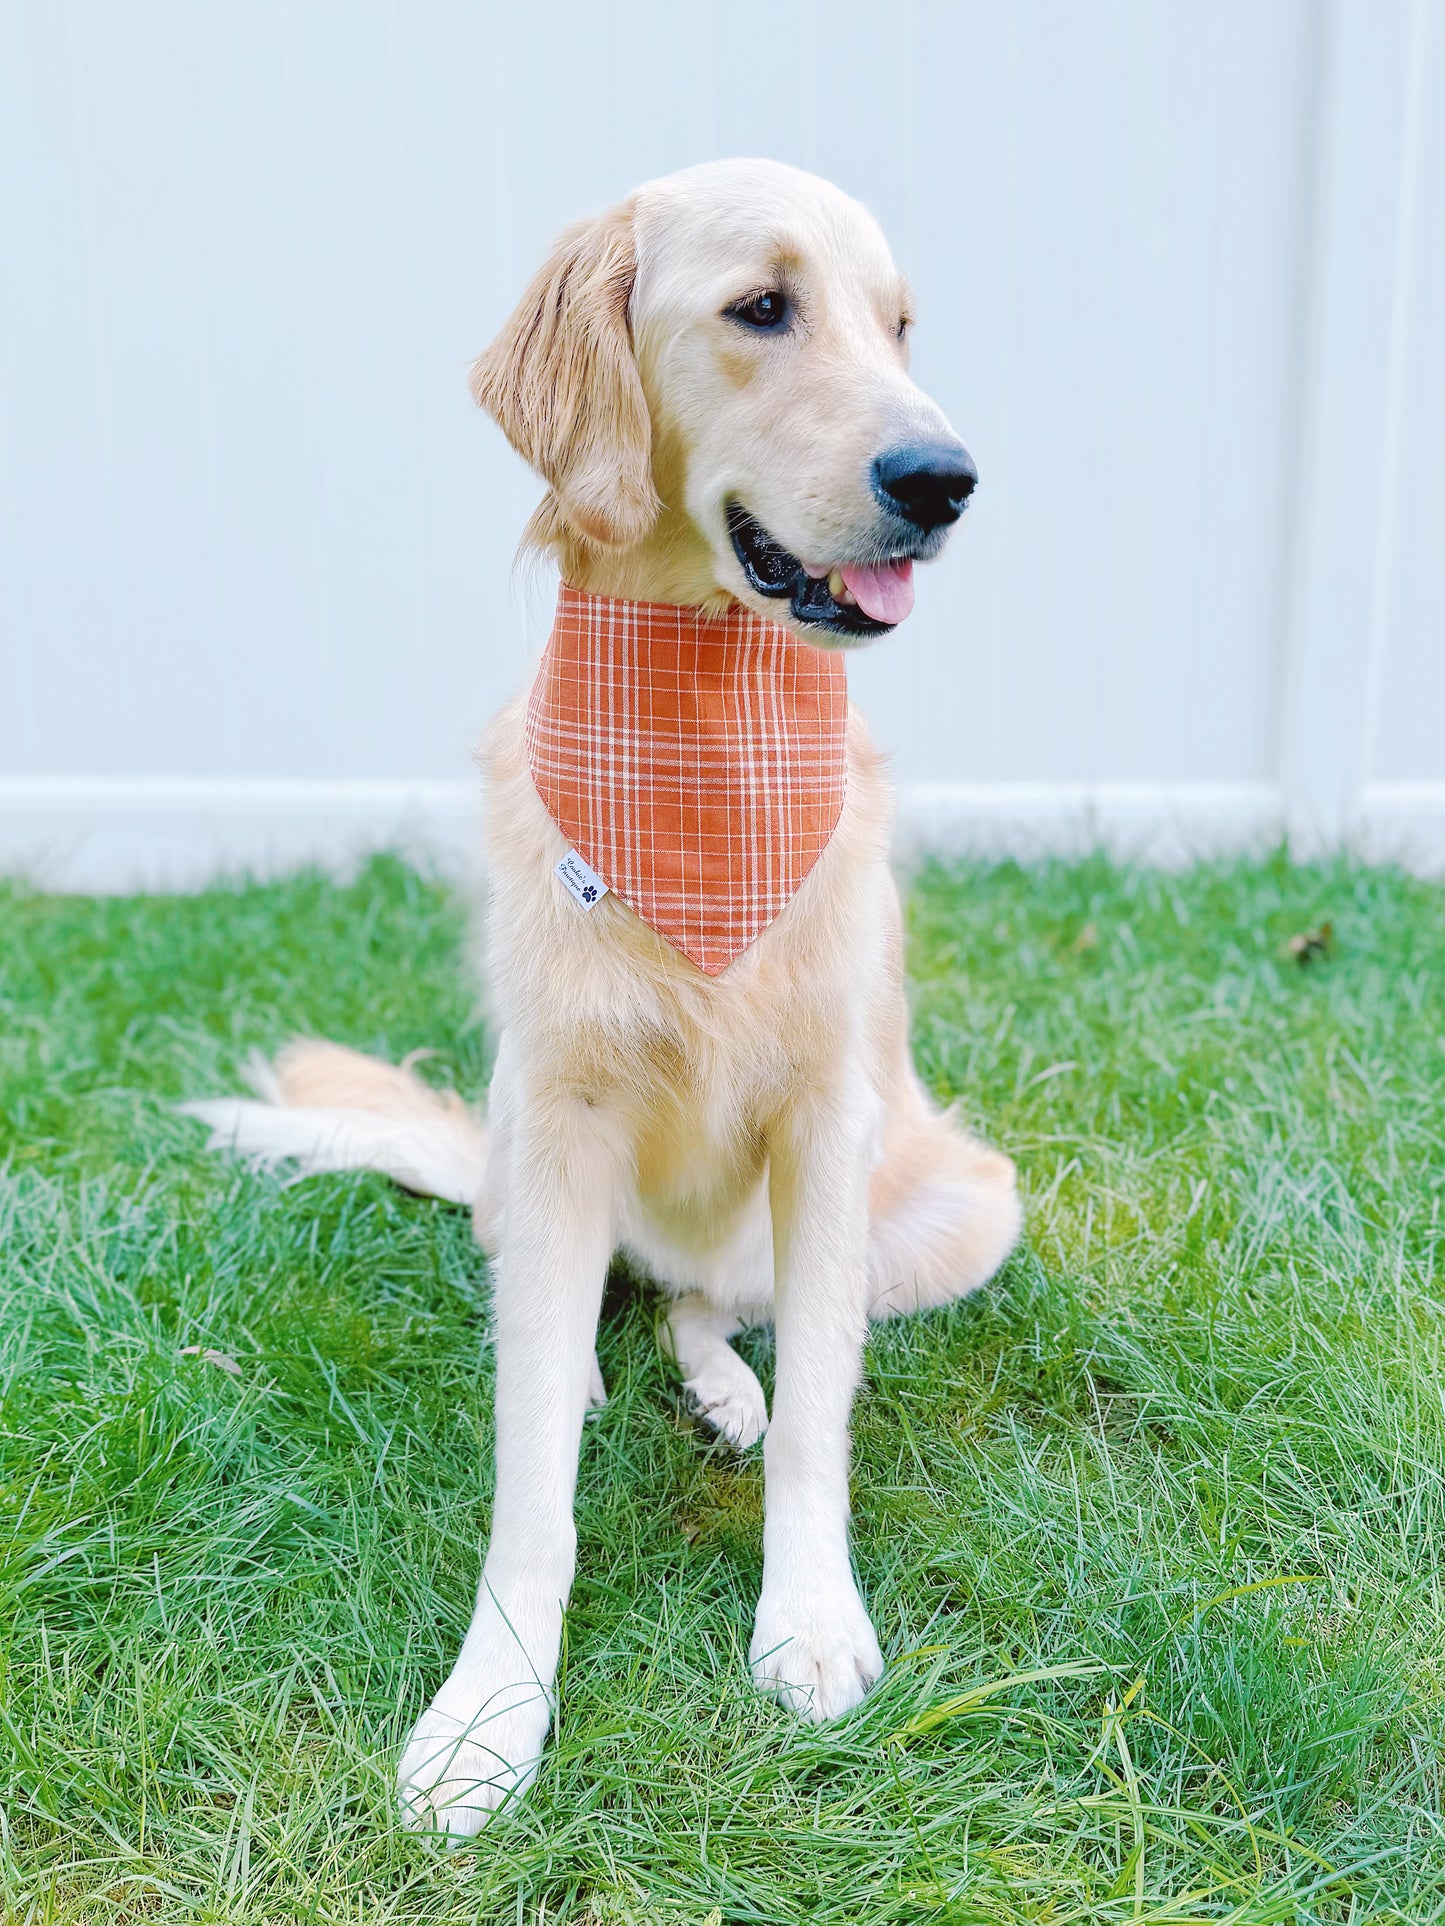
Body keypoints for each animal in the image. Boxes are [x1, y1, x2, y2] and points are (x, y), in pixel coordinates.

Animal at [186, 157, 1024, 1825]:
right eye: (762, 307)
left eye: (898, 326)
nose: (947, 477)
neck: (702, 720)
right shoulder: (564, 1105)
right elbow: (529, 1489)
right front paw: (491, 1707)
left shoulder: (828, 1117)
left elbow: (820, 1417)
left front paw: (808, 1615)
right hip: (521, 1137)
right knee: (570, 1297)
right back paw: (580, 1360)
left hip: (957, 1206)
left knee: (714, 1306)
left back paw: (725, 1387)